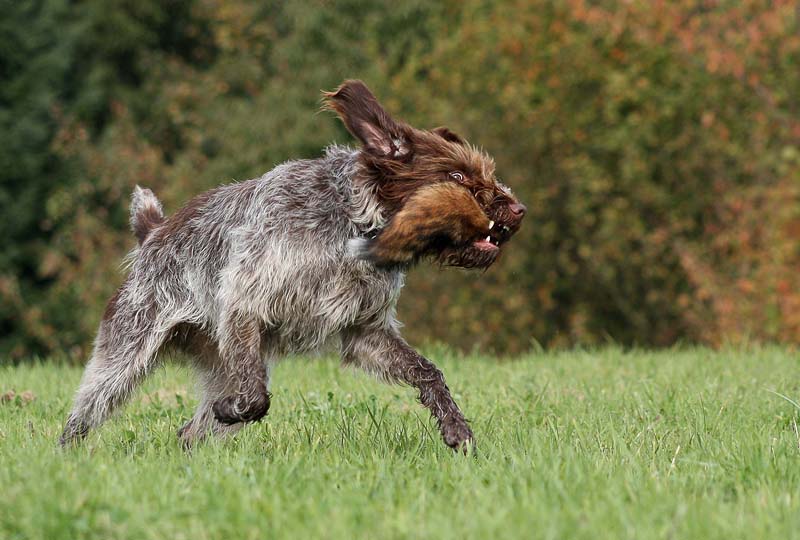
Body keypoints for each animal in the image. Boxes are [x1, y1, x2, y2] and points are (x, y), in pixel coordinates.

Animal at [61, 80, 524, 452]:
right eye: (457, 177)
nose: (519, 210)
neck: (352, 225)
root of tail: (152, 233)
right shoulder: (245, 305)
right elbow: (255, 400)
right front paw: (233, 408)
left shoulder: (366, 332)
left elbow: (429, 373)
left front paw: (455, 428)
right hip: (125, 357)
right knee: (83, 416)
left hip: (218, 359)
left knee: (190, 433)